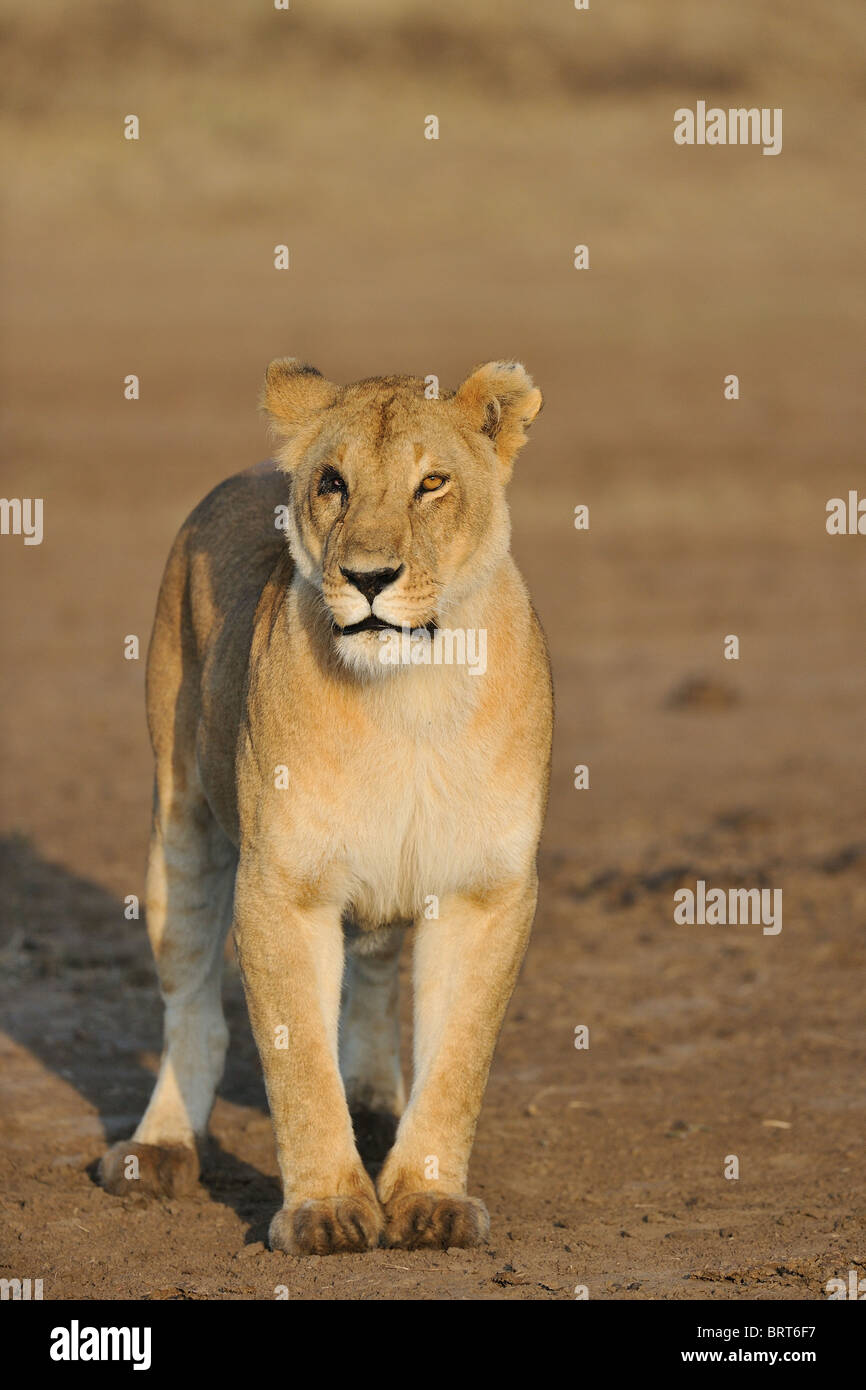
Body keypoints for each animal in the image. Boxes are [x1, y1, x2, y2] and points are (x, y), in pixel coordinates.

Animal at [99, 358, 553, 1254]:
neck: (410, 697)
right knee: (193, 1009)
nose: (369, 579)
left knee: (374, 968)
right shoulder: (282, 887)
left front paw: (429, 1198)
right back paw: (158, 1148)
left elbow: (457, 1059)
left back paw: (375, 1103)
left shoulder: (485, 891)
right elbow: (299, 1063)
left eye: (432, 483)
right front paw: (327, 1209)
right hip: (181, 825)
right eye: (333, 484)